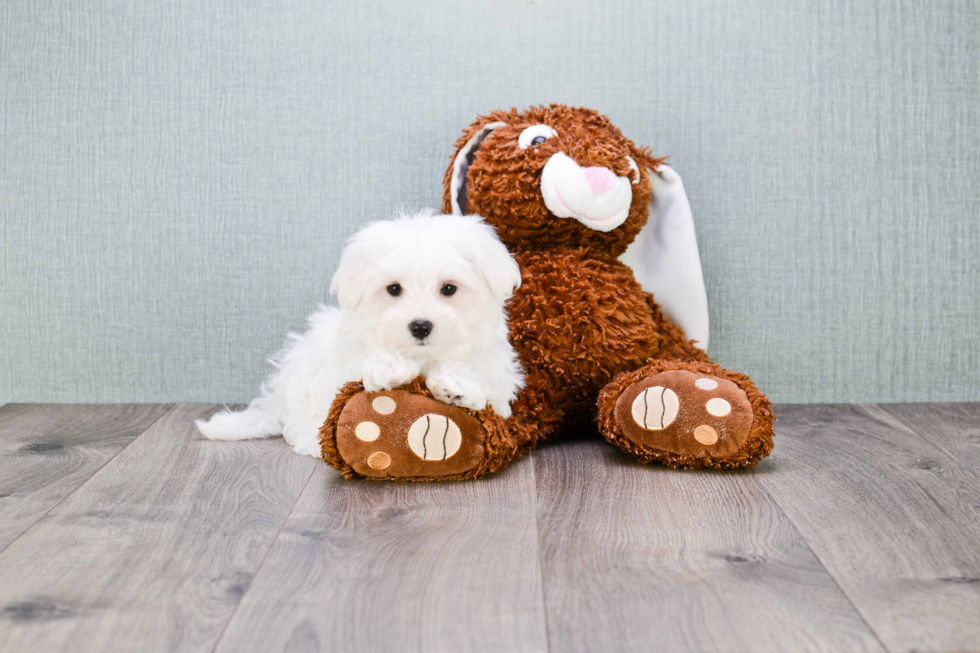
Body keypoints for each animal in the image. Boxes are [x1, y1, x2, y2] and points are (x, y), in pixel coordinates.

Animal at [194, 211, 524, 456]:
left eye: (449, 289)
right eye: (394, 288)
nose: (420, 326)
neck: (422, 358)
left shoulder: (498, 381)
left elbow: (487, 391)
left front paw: (455, 384)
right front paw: (390, 368)